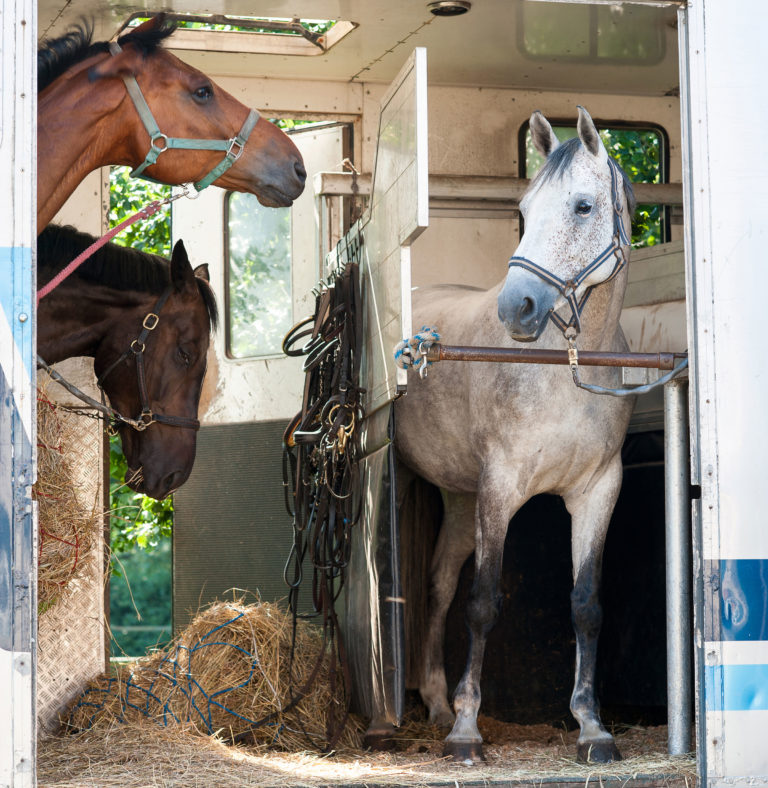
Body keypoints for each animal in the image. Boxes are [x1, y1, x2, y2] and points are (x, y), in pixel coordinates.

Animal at [396, 106, 636, 764]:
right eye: (524, 213)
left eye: (583, 206)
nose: (517, 308)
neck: (561, 371)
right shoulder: (500, 490)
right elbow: (483, 603)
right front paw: (466, 730)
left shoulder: (598, 492)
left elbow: (586, 604)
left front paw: (592, 727)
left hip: (459, 498)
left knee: (438, 584)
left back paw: (432, 700)